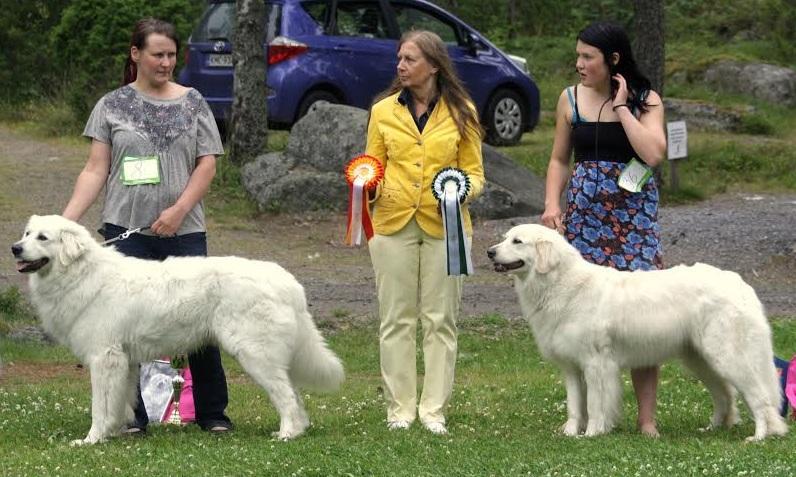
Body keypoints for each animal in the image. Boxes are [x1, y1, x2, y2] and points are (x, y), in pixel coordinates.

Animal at [10, 214, 344, 444]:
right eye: (26, 234)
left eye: (43, 237)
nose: (15, 248)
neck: (81, 272)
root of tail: (289, 283)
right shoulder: (123, 361)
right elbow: (119, 402)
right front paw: (114, 433)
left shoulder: (104, 358)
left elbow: (99, 405)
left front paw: (91, 439)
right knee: (294, 394)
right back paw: (298, 430)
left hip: (255, 354)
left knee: (286, 396)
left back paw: (286, 434)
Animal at [488, 223, 788, 438]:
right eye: (505, 238)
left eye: (517, 241)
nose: (490, 252)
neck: (560, 284)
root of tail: (739, 282)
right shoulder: (571, 367)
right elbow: (574, 405)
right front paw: (570, 433)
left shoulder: (596, 364)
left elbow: (595, 404)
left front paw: (592, 433)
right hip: (700, 360)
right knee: (726, 394)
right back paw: (714, 428)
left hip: (727, 357)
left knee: (758, 396)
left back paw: (760, 436)